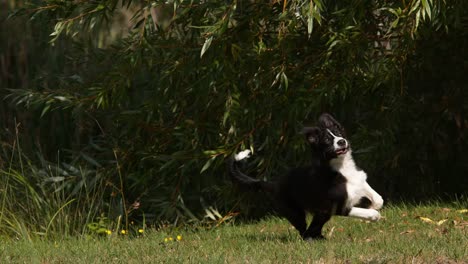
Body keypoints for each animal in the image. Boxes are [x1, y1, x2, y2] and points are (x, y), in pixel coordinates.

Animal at [228, 112, 384, 240]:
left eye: (339, 133)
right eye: (327, 141)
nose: (341, 141)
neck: (342, 168)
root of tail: (275, 184)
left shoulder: (359, 181)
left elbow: (379, 199)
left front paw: (373, 205)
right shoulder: (338, 207)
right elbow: (367, 212)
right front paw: (373, 215)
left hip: (320, 213)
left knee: (313, 227)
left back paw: (320, 238)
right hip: (295, 212)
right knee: (305, 231)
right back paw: (312, 240)